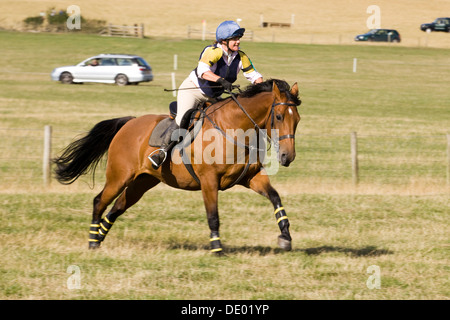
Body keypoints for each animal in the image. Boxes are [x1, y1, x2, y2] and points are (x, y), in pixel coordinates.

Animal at [54, 78, 304, 255]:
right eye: (279, 116)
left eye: (298, 119)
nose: (287, 156)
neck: (234, 128)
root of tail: (128, 123)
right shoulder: (209, 181)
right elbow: (213, 215)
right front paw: (217, 249)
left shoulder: (251, 177)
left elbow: (275, 198)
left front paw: (285, 236)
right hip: (119, 177)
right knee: (100, 201)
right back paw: (92, 241)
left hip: (142, 182)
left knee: (117, 207)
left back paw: (100, 238)